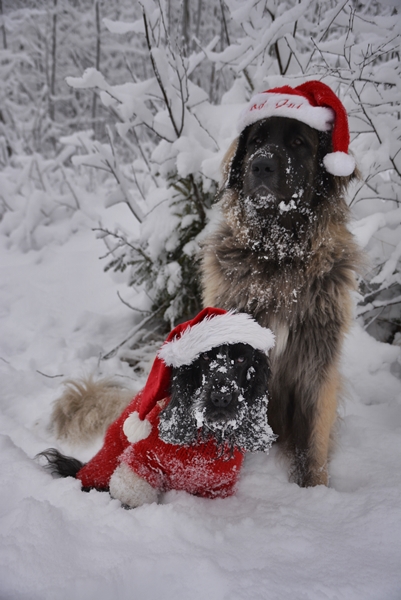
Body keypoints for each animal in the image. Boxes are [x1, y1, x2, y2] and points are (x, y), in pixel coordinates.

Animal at [202, 81, 360, 488]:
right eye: (257, 140)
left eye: (299, 143)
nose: (260, 164)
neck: (279, 256)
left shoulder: (317, 364)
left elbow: (314, 441)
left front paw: (313, 489)